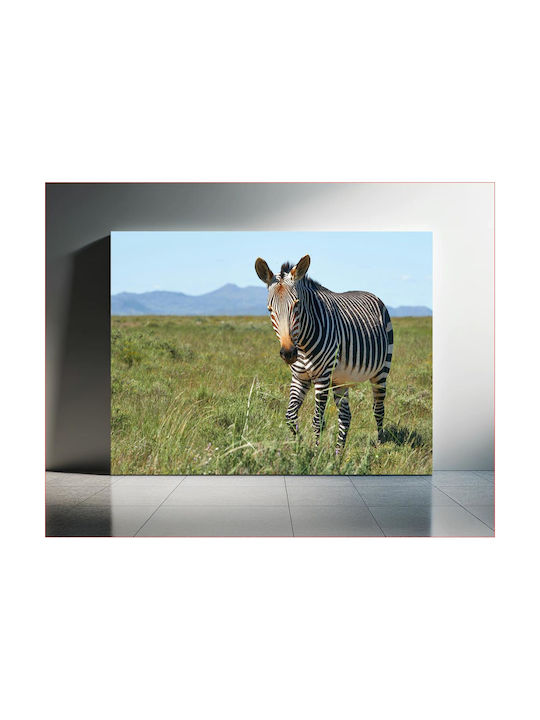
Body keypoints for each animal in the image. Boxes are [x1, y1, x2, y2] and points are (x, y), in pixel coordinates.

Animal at [255, 254, 394, 448]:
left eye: (296, 305)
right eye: (270, 309)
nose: (289, 353)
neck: (302, 344)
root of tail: (371, 294)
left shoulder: (322, 377)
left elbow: (317, 420)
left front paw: (315, 452)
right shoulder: (299, 377)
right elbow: (290, 416)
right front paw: (299, 444)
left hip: (381, 371)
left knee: (378, 409)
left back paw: (379, 444)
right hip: (341, 378)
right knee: (345, 417)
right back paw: (339, 452)